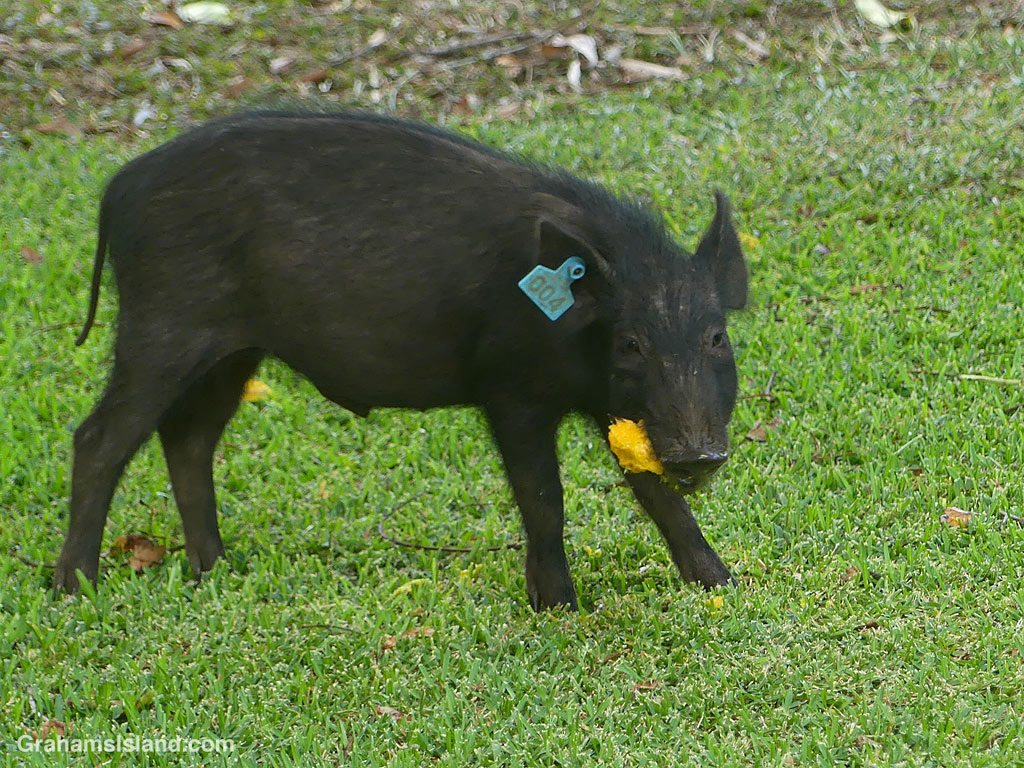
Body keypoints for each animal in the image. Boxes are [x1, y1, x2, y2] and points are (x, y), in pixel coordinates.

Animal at [53, 111, 748, 611]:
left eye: (717, 338)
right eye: (631, 342)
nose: (699, 454)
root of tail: (119, 186)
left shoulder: (614, 408)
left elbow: (657, 495)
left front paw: (723, 586)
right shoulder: (511, 393)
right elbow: (543, 497)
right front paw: (560, 610)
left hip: (234, 352)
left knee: (188, 437)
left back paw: (214, 570)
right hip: (160, 329)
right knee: (99, 438)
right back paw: (75, 589)